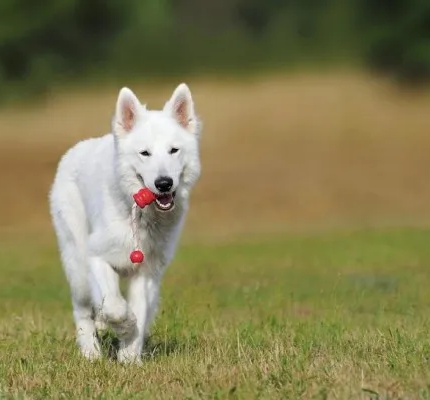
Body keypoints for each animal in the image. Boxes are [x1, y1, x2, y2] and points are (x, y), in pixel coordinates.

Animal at [47, 83, 202, 364]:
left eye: (173, 150)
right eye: (145, 153)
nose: (164, 183)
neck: (140, 216)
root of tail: (74, 150)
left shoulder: (147, 273)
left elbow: (139, 310)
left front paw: (129, 357)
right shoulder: (96, 258)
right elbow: (115, 307)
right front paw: (124, 327)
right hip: (77, 267)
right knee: (82, 311)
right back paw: (90, 353)